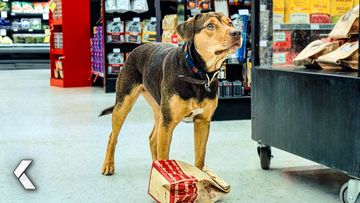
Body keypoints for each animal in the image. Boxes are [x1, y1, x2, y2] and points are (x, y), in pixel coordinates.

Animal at [100, 11, 243, 175]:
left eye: (230, 23)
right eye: (210, 26)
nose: (237, 33)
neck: (198, 74)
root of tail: (137, 48)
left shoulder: (202, 122)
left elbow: (200, 158)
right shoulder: (167, 123)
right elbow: (164, 155)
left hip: (159, 109)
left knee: (152, 138)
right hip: (124, 104)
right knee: (113, 136)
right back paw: (108, 165)